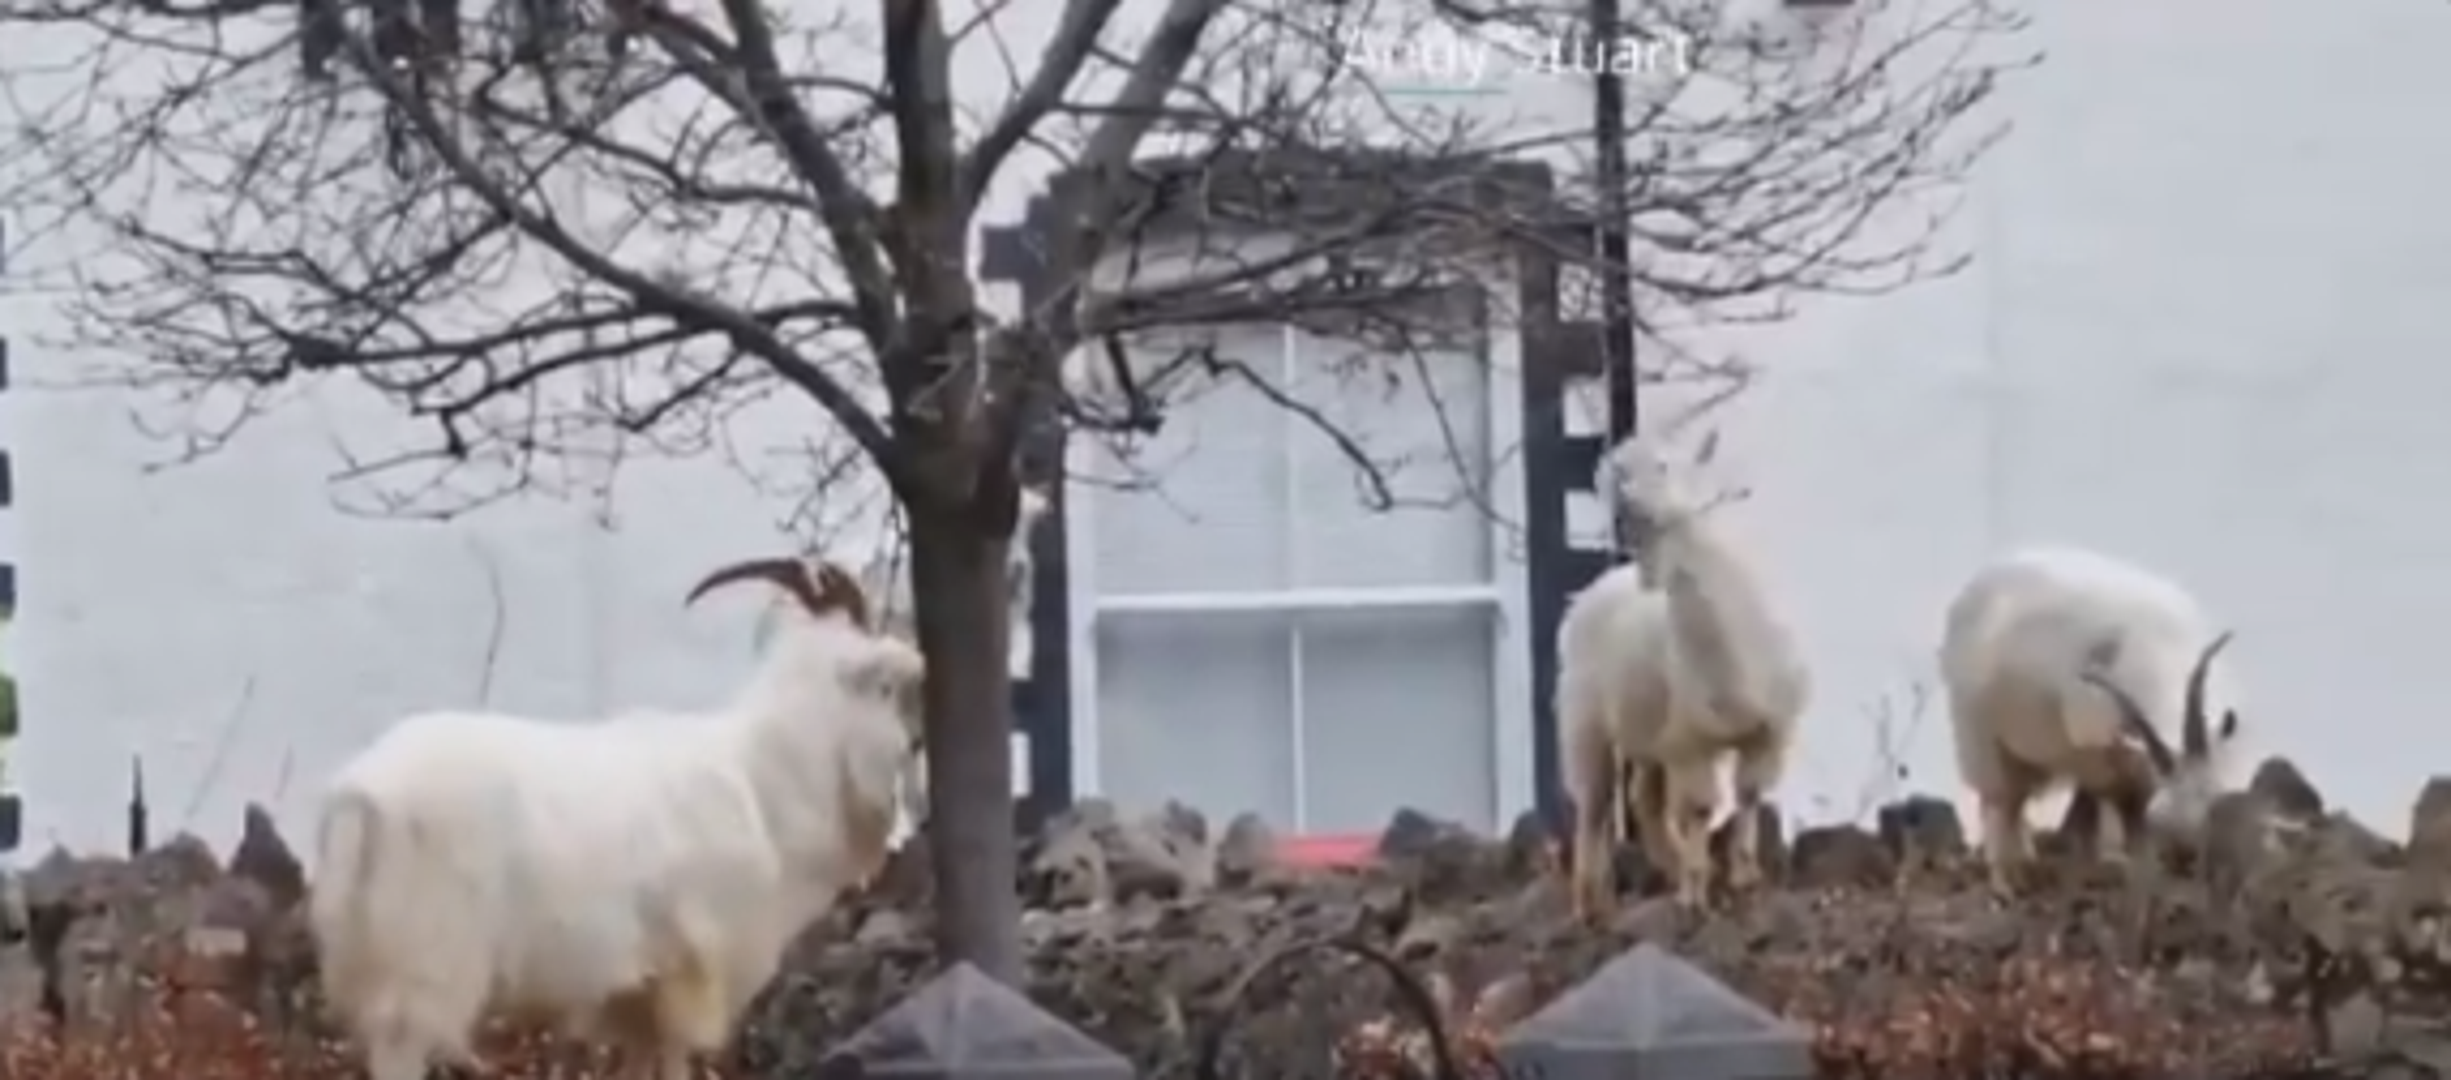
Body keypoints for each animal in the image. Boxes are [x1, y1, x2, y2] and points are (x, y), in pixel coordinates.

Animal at [306, 555, 921, 1077]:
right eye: (885, 688)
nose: (912, 751)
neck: (762, 779)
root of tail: (358, 797)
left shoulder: (635, 996)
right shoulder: (689, 979)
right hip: (426, 969)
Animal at [1558, 391, 1813, 911]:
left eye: (1664, 464)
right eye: (1618, 474)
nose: (1628, 509)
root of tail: (1592, 592)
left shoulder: (1773, 729)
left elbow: (1748, 794)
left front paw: (1743, 875)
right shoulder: (1688, 740)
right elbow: (1699, 808)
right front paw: (1696, 892)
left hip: (1647, 728)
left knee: (1642, 799)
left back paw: (1664, 868)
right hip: (1582, 716)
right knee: (1594, 803)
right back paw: (1590, 901)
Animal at [1941, 546, 2245, 891]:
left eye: (2213, 801)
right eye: (2163, 819)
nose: (2187, 858)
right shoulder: (2095, 755)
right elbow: (2120, 812)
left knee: (2016, 806)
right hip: (1978, 736)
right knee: (1998, 803)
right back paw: (2005, 880)